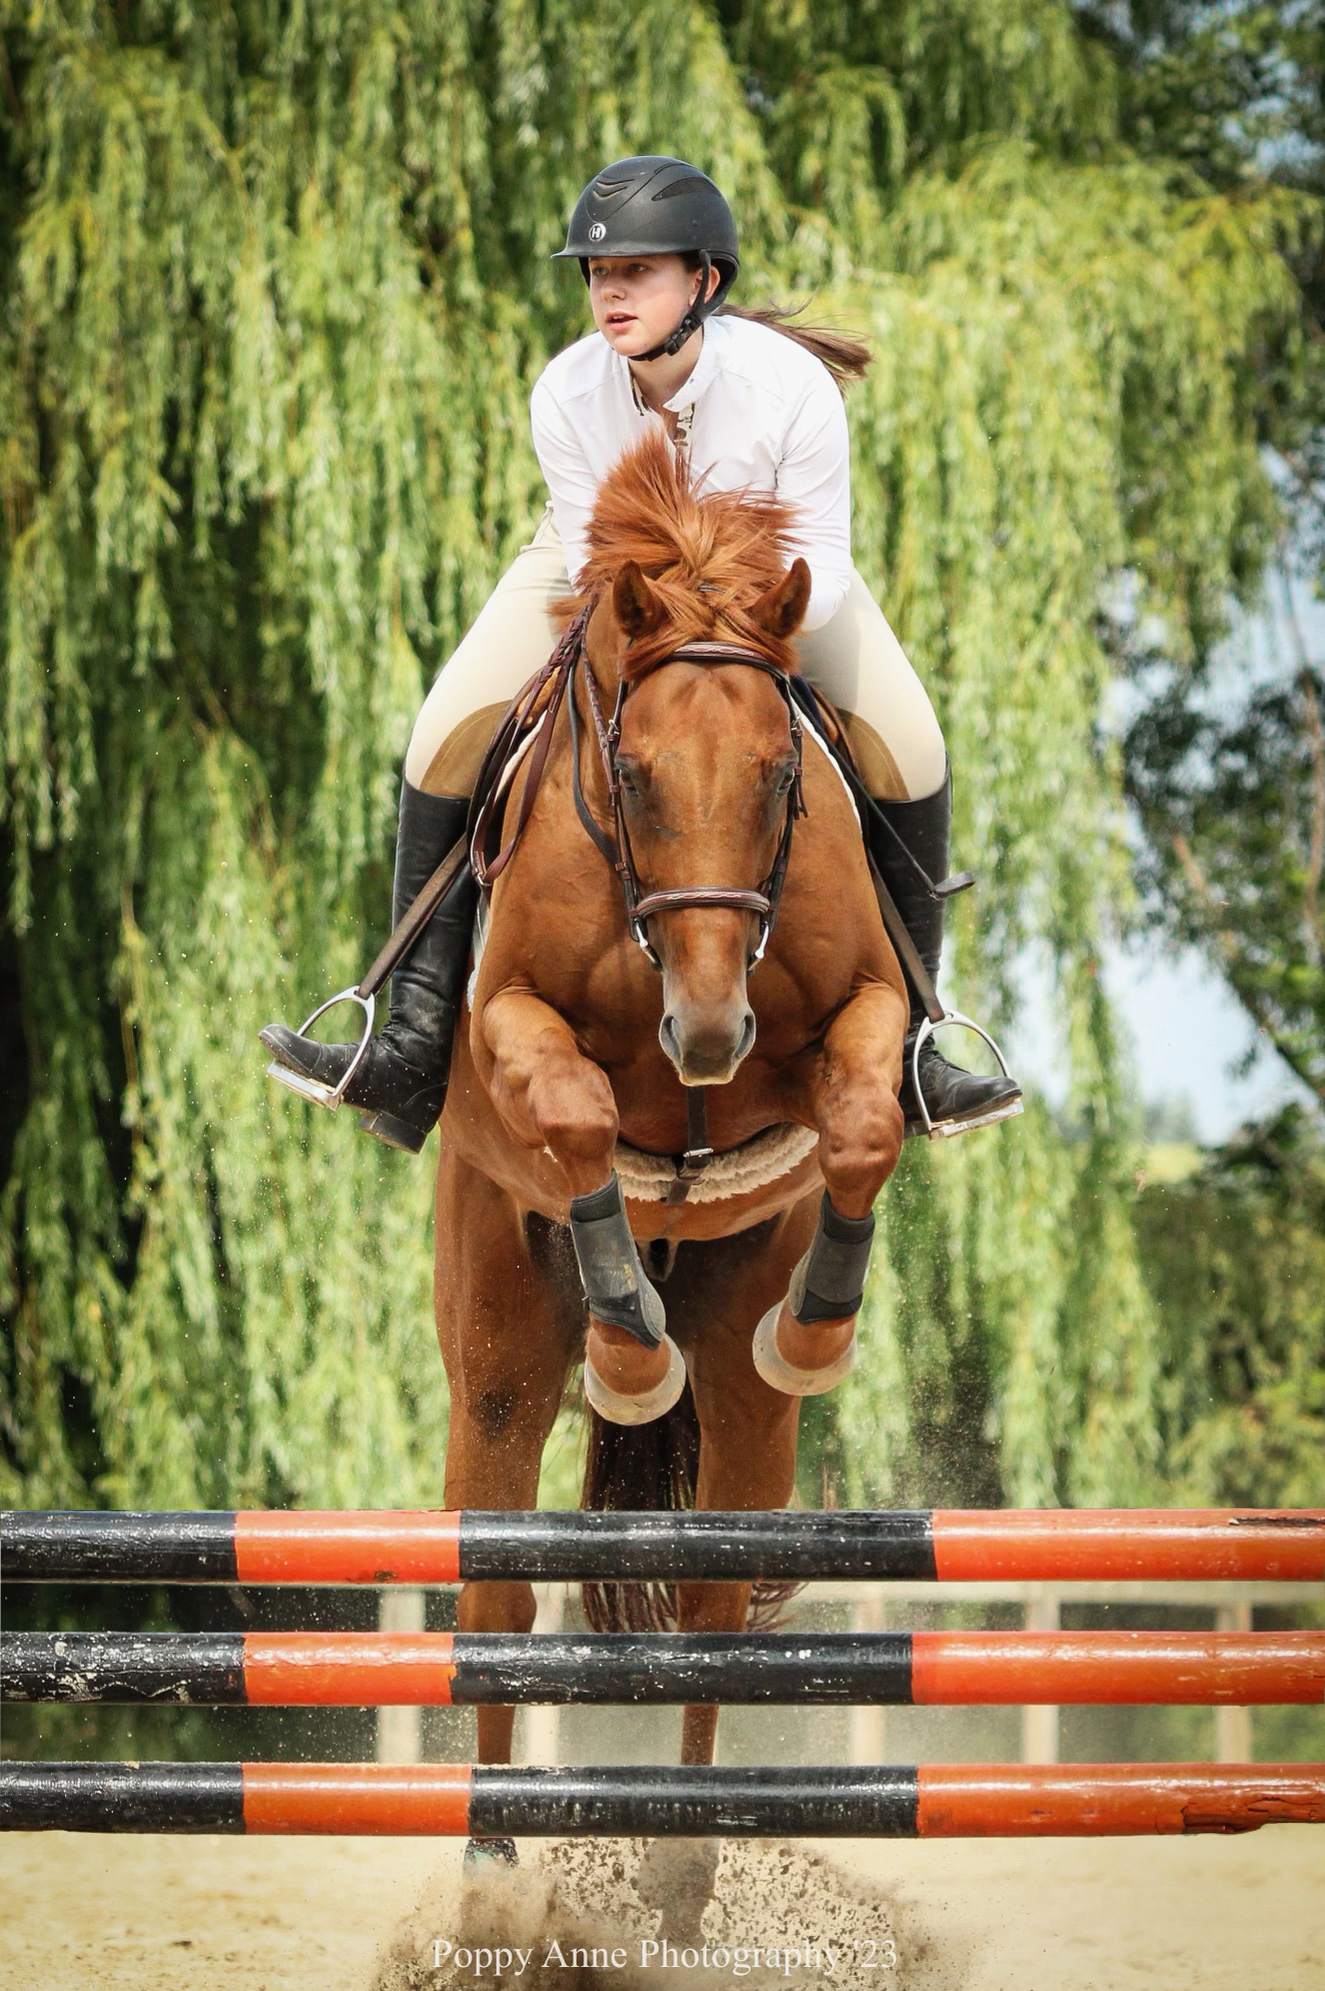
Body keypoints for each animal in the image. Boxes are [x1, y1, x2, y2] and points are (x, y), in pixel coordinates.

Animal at [434, 432, 908, 1831]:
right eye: (632, 775)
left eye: (779, 774)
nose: (708, 1034)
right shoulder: (507, 1025)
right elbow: (579, 1114)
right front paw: (629, 1356)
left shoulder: (866, 1011)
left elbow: (861, 1124)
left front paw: (817, 1329)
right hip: (493, 1365)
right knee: (494, 1607)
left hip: (741, 1391)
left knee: (710, 1603)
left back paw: (686, 1859)